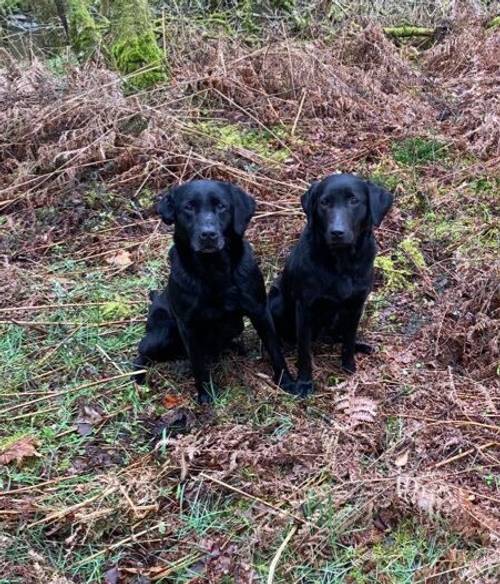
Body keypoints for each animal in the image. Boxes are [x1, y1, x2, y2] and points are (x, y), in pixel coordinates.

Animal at [134, 180, 296, 404]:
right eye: (188, 207)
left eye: (221, 206)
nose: (208, 235)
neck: (214, 269)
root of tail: (156, 298)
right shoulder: (188, 326)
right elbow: (197, 364)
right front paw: (205, 395)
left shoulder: (260, 312)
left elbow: (275, 350)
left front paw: (286, 381)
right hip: (163, 334)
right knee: (142, 349)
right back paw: (138, 376)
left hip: (235, 326)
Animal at [268, 171, 392, 394]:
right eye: (324, 202)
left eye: (354, 200)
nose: (337, 232)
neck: (342, 264)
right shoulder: (305, 308)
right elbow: (304, 352)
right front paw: (304, 382)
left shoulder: (356, 305)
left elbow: (349, 340)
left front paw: (349, 366)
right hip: (276, 301)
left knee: (340, 337)